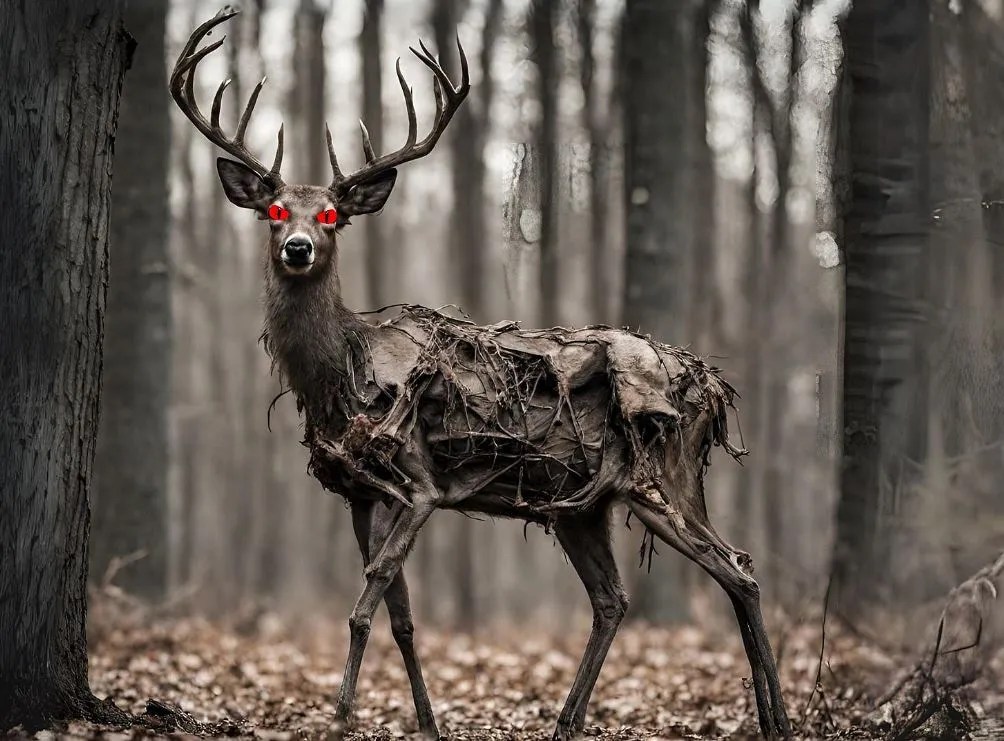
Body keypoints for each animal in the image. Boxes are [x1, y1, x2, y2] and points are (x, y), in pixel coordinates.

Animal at [170, 8, 791, 740]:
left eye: (329, 215)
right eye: (273, 212)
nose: (298, 248)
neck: (337, 370)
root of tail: (711, 384)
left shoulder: (419, 480)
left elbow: (367, 599)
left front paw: (341, 714)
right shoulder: (357, 492)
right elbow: (402, 614)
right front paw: (426, 721)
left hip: (662, 473)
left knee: (739, 569)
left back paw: (777, 718)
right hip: (583, 504)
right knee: (614, 598)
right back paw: (570, 720)